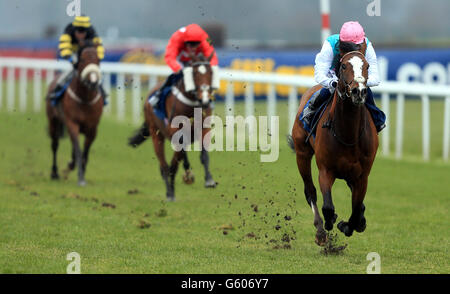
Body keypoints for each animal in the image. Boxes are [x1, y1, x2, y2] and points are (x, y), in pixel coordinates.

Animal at [46, 43, 104, 186]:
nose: (93, 82)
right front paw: (81, 177)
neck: (85, 99)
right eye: (82, 60)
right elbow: (78, 150)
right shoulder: (72, 123)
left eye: (98, 60)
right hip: (53, 121)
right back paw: (54, 173)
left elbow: (85, 152)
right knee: (55, 145)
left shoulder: (92, 128)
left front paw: (80, 170)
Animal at [127, 51, 217, 201]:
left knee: (172, 164)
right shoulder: (174, 131)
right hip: (155, 133)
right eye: (194, 73)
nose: (204, 99)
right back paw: (170, 192)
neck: (191, 104)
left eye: (210, 72)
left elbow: (203, 155)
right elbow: (177, 157)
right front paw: (187, 174)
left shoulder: (204, 128)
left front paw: (209, 180)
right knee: (164, 165)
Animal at [290, 51, 378, 246]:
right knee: (310, 192)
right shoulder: (326, 170)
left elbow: (356, 209)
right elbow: (328, 206)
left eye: (367, 66)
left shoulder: (363, 176)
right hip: (302, 154)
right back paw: (321, 230)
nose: (359, 91)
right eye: (344, 65)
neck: (348, 134)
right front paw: (331, 223)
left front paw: (348, 225)